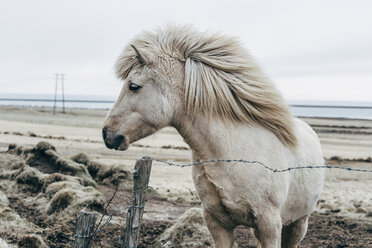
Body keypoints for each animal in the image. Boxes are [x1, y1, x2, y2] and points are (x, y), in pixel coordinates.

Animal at [103, 25, 324, 248]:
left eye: (133, 86)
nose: (107, 133)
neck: (230, 154)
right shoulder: (217, 222)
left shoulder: (269, 224)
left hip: (298, 223)